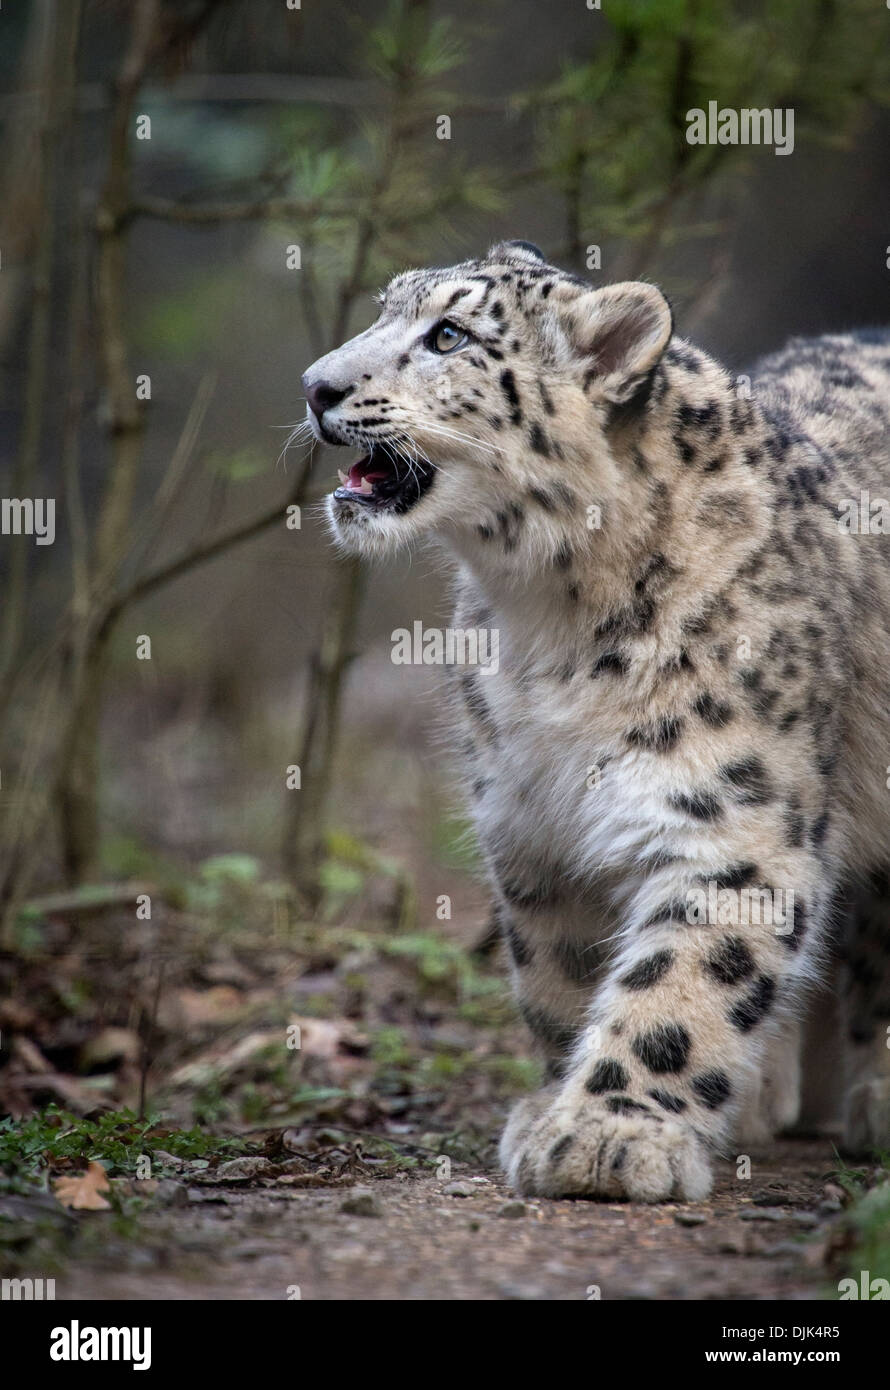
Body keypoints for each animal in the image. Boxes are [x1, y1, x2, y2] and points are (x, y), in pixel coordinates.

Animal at [302, 239, 890, 1201]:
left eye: (449, 334)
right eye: (386, 308)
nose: (315, 386)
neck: (550, 621)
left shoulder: (731, 819)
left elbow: (682, 983)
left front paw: (611, 1134)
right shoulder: (532, 825)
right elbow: (562, 975)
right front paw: (557, 1105)